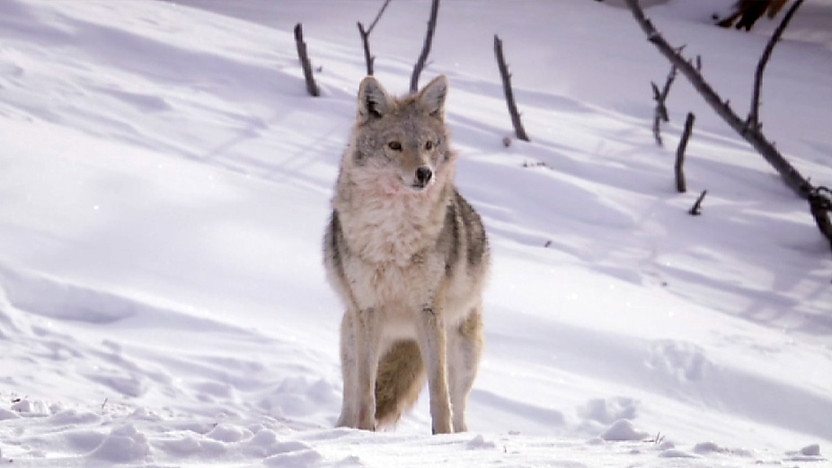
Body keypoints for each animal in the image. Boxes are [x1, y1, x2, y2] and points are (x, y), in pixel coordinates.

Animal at [323, 75, 489, 434]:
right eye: (395, 146)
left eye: (428, 145)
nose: (425, 173)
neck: (394, 237)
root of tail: (404, 332)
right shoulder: (368, 310)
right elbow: (366, 391)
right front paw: (364, 434)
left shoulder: (429, 310)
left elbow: (439, 393)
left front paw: (441, 437)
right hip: (350, 336)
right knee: (350, 394)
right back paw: (343, 430)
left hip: (462, 351)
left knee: (459, 405)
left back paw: (458, 436)